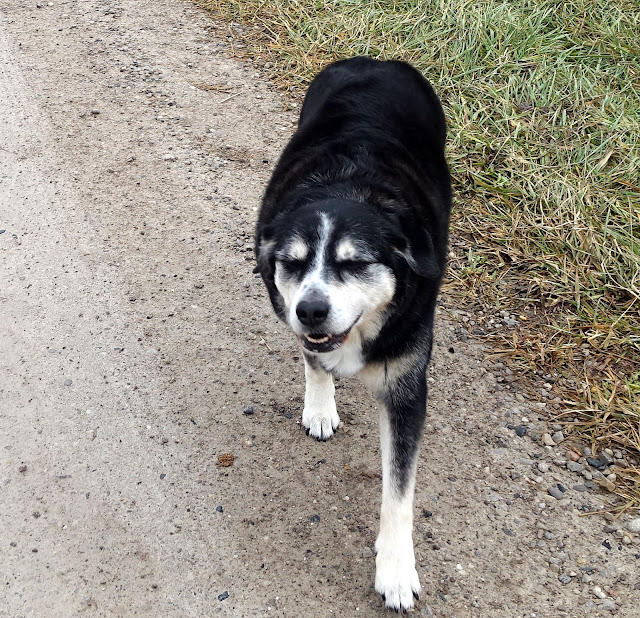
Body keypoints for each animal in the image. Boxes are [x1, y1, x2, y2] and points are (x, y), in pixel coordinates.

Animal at [254, 57, 451, 612]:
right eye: (292, 262)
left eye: (356, 263)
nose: (311, 310)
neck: (347, 187)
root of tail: (376, 60)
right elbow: (313, 359)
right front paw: (321, 405)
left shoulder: (407, 386)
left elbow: (399, 493)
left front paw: (396, 569)